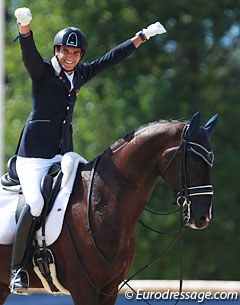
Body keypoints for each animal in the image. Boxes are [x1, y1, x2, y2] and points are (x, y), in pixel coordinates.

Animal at [0, 112, 218, 304]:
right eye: (194, 161)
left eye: (211, 161)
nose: (204, 217)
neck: (102, 200)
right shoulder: (84, 287)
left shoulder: (109, 289)